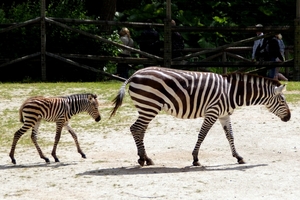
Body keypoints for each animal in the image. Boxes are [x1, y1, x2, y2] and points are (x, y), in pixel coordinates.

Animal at [110, 66, 290, 166]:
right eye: (282, 100)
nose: (289, 117)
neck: (232, 92)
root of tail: (135, 74)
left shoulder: (224, 115)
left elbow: (230, 136)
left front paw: (238, 157)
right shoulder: (213, 112)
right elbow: (202, 135)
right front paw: (195, 159)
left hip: (146, 108)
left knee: (139, 130)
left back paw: (145, 158)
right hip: (149, 106)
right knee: (136, 128)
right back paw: (143, 159)